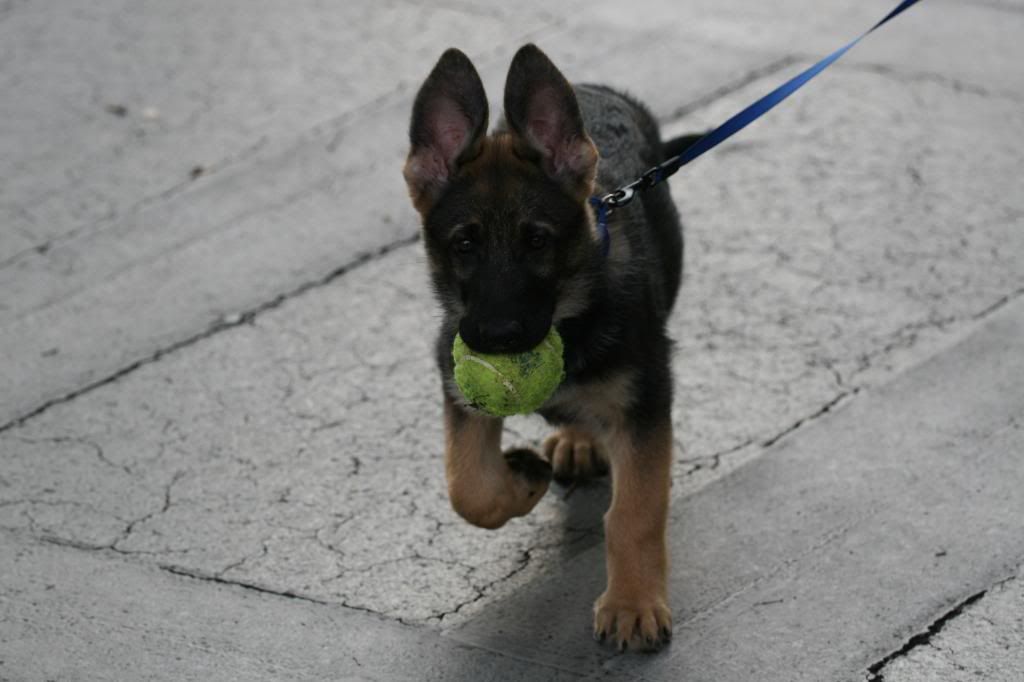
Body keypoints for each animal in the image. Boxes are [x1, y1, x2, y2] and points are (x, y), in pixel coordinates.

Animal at [403, 42, 692, 647]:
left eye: (537, 241)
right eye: (464, 244)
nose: (497, 339)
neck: (569, 316)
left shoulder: (645, 402)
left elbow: (634, 513)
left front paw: (633, 604)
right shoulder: (453, 381)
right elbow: (466, 487)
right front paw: (520, 479)